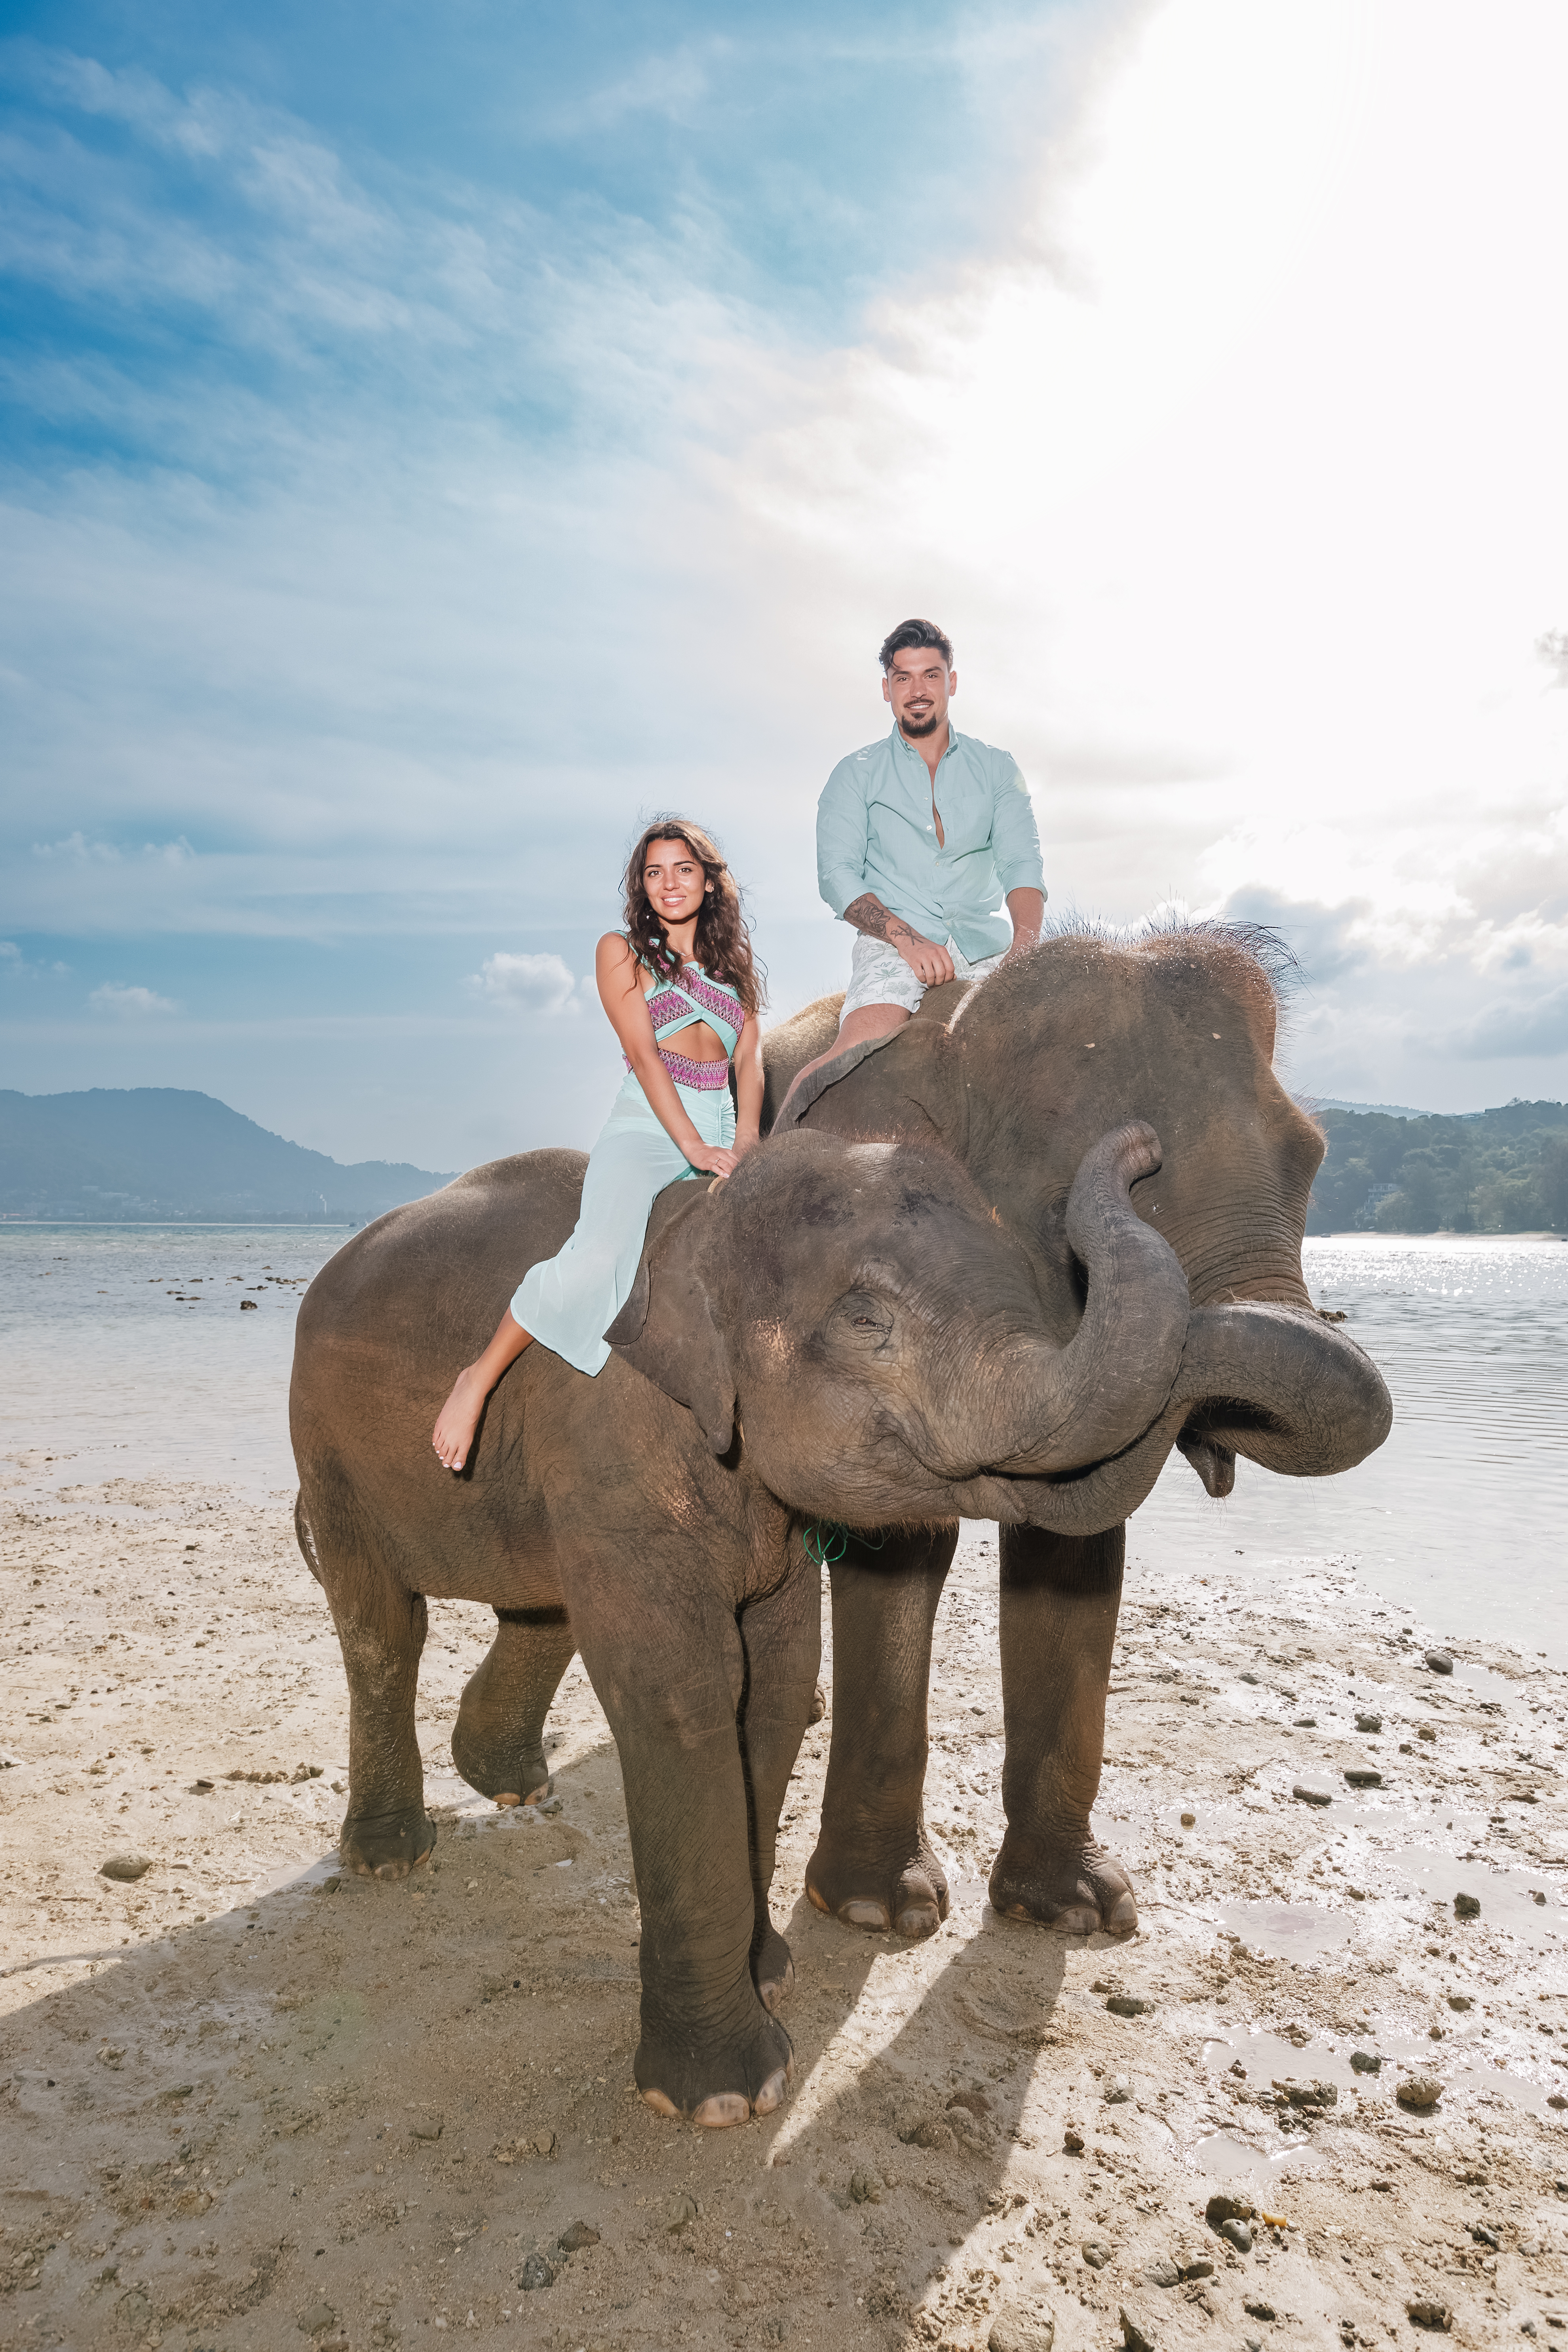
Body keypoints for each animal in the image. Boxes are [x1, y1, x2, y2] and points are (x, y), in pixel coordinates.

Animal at [289, 1117, 1202, 2127]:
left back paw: (510, 1785)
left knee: (539, 1602)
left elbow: (772, 1683)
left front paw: (771, 1975)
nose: (1143, 1143)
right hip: (326, 1447)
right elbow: (685, 1695)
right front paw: (721, 2096)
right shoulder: (614, 1440)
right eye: (864, 1319)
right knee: (382, 1626)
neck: (700, 1221)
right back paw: (389, 1857)